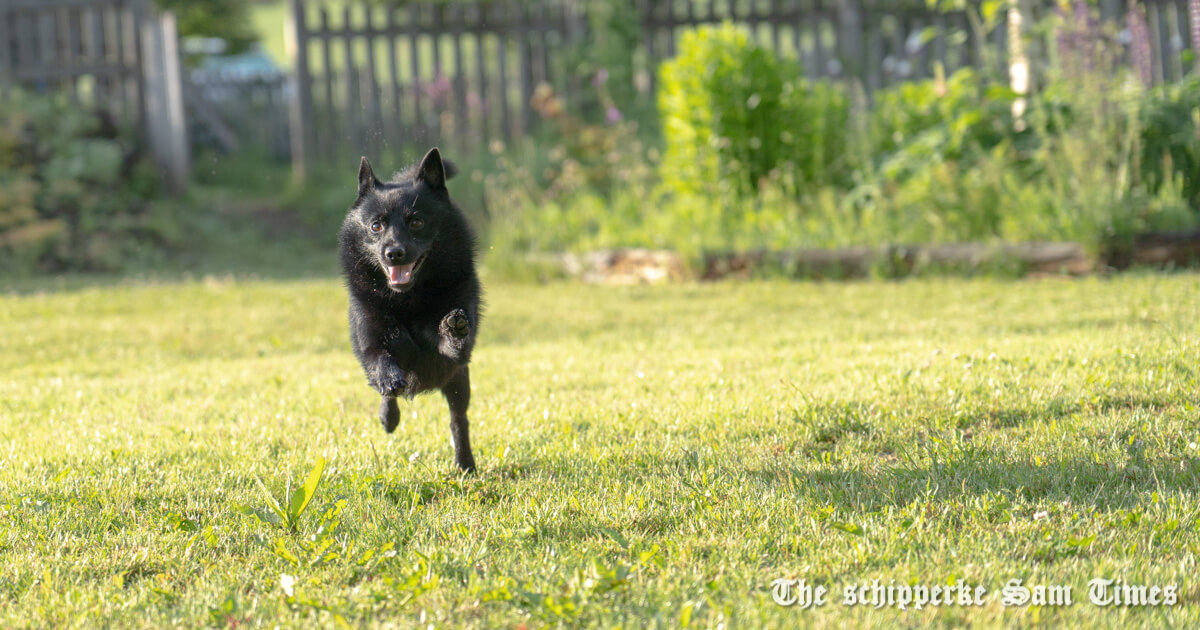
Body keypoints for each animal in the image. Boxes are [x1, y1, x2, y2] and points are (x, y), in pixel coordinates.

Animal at [338, 147, 482, 470]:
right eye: (376, 225)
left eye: (416, 222)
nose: (394, 253)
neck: (408, 302)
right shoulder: (371, 342)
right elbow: (380, 360)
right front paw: (390, 380)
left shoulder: (455, 357)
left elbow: (452, 342)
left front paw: (453, 328)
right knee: (388, 397)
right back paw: (388, 417)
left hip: (459, 383)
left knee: (459, 421)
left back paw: (465, 463)